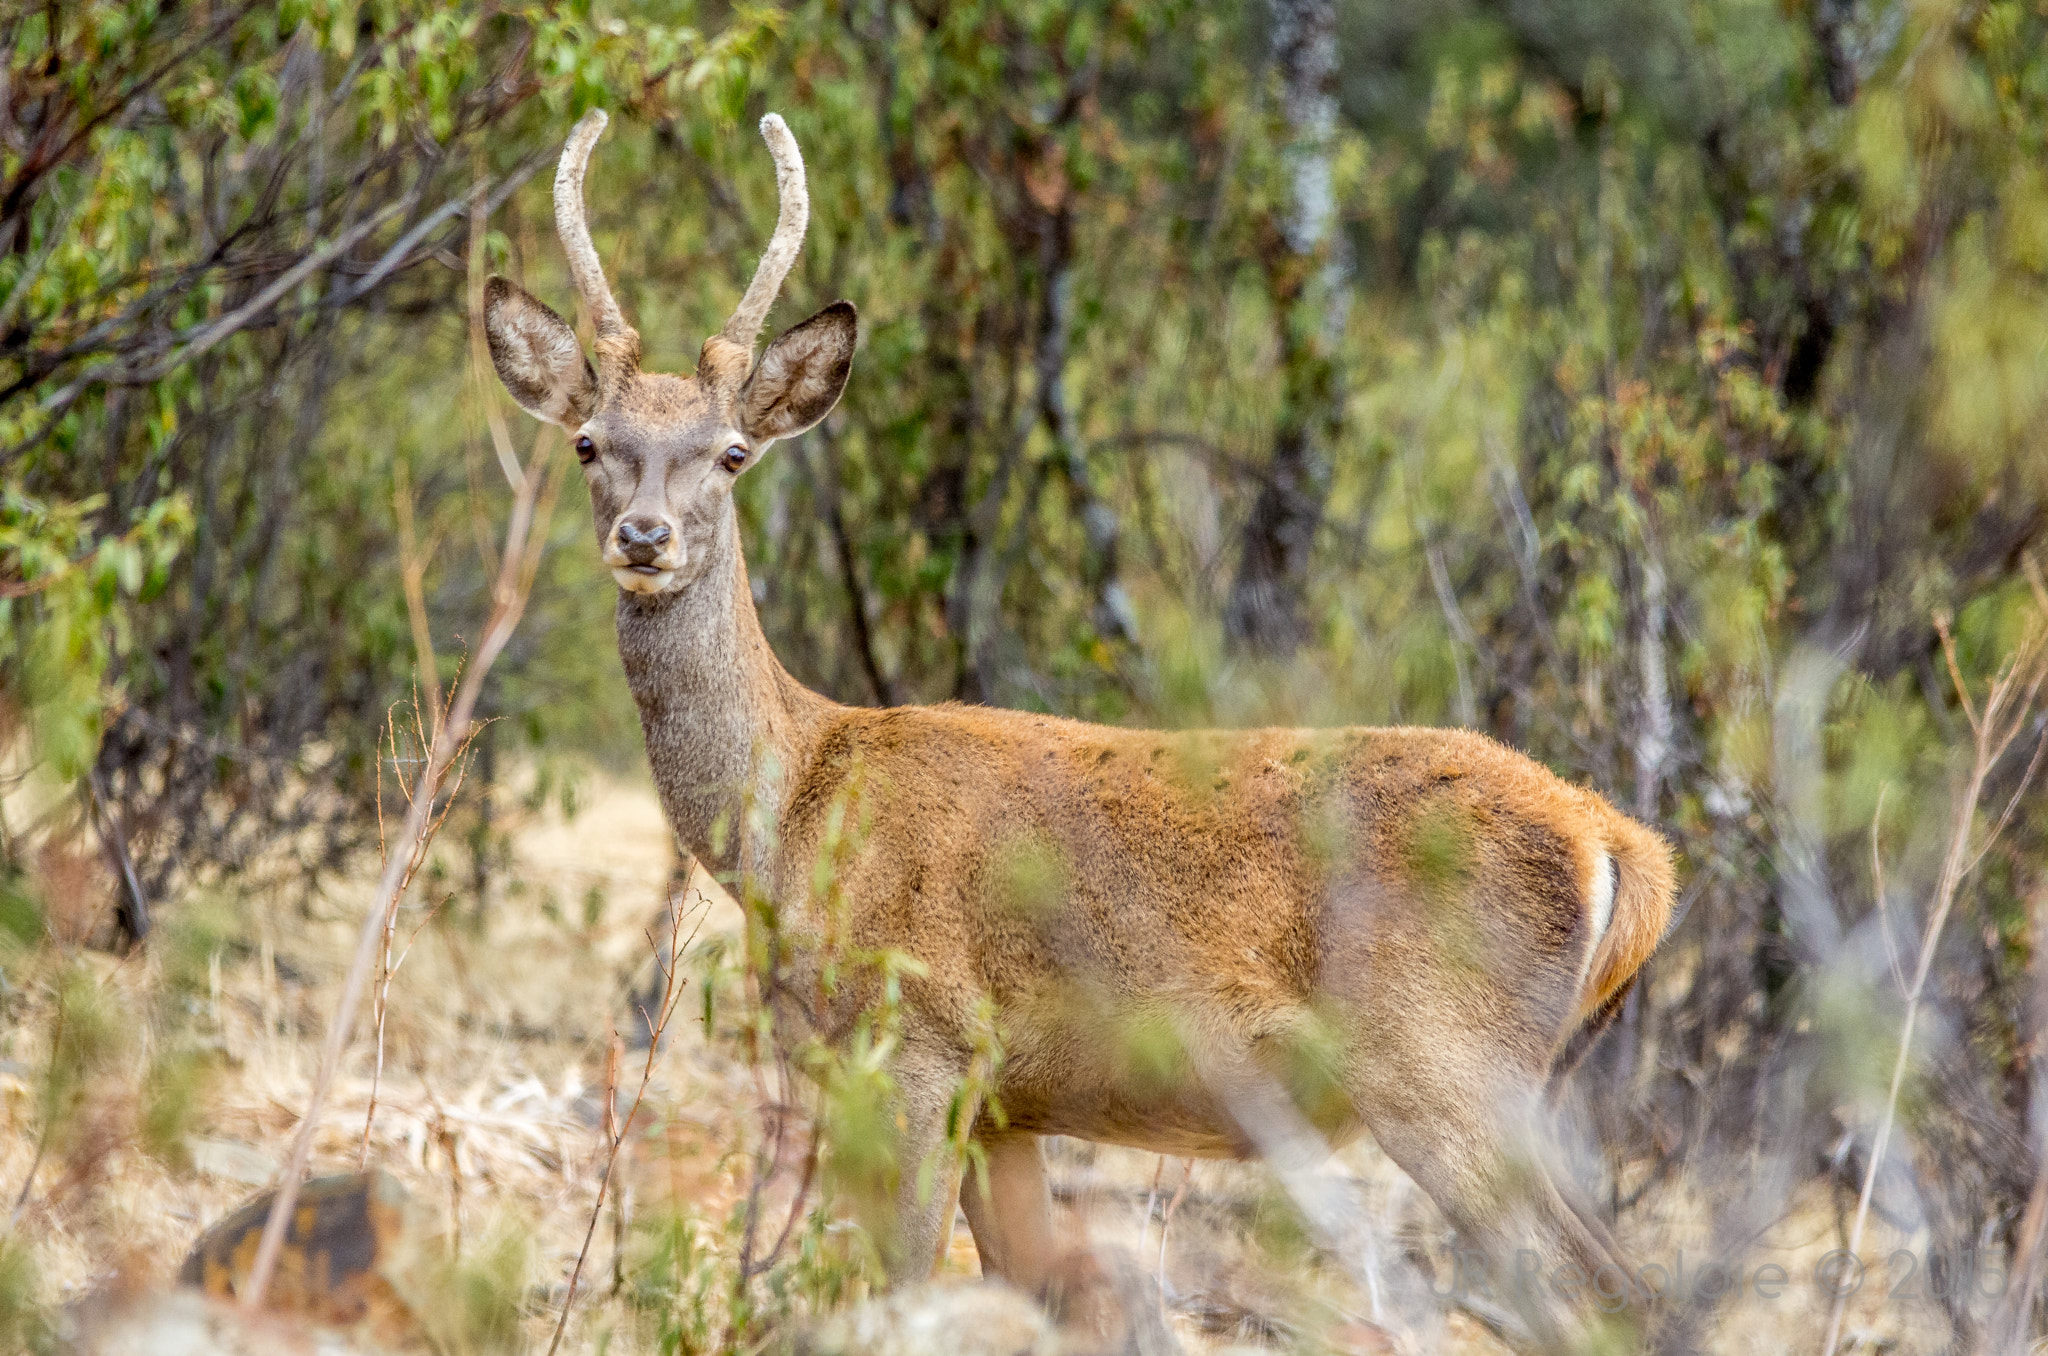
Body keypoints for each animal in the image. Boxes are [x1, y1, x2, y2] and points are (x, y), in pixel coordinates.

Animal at [483, 111, 1679, 1343]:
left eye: (730, 452)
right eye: (587, 441)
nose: (644, 535)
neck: (799, 811)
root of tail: (1620, 848)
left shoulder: (921, 1043)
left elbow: (905, 1284)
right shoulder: (1007, 1103)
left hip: (1444, 1067)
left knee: (1598, 1291)